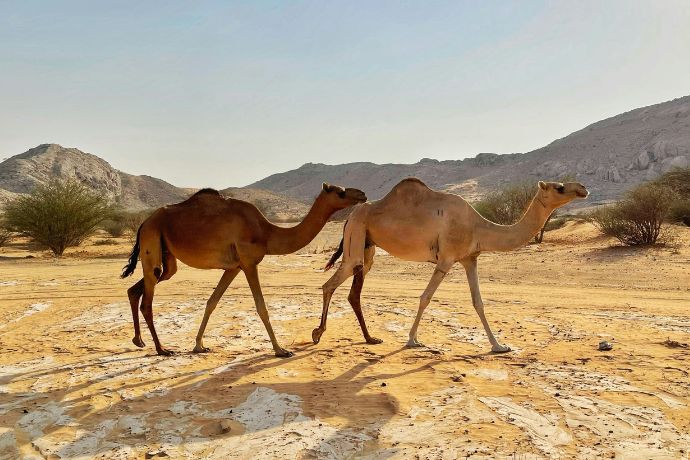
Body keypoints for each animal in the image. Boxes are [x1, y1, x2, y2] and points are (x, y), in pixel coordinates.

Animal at [121, 183, 367, 357]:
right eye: (341, 192)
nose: (362, 194)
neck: (267, 233)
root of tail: (144, 223)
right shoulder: (249, 263)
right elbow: (261, 307)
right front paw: (280, 350)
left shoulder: (234, 267)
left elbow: (212, 302)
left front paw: (199, 345)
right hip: (152, 239)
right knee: (147, 300)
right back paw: (161, 349)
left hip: (166, 256)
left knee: (142, 286)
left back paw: (139, 340)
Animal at [311, 178, 588, 352]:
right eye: (560, 187)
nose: (583, 188)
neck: (478, 226)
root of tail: (349, 216)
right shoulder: (446, 259)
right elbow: (425, 297)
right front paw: (412, 340)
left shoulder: (470, 259)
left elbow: (478, 302)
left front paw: (499, 346)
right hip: (357, 234)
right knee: (333, 282)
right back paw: (318, 333)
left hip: (366, 245)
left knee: (346, 285)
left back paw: (354, 337)